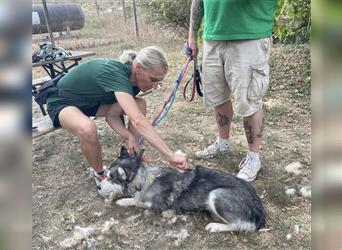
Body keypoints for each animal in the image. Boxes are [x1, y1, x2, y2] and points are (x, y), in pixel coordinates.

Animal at [108, 146, 266, 232]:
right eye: (107, 171)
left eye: (109, 177)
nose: (103, 173)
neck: (146, 179)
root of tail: (260, 210)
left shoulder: (154, 205)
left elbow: (136, 200)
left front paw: (122, 201)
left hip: (216, 194)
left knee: (240, 226)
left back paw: (215, 226)